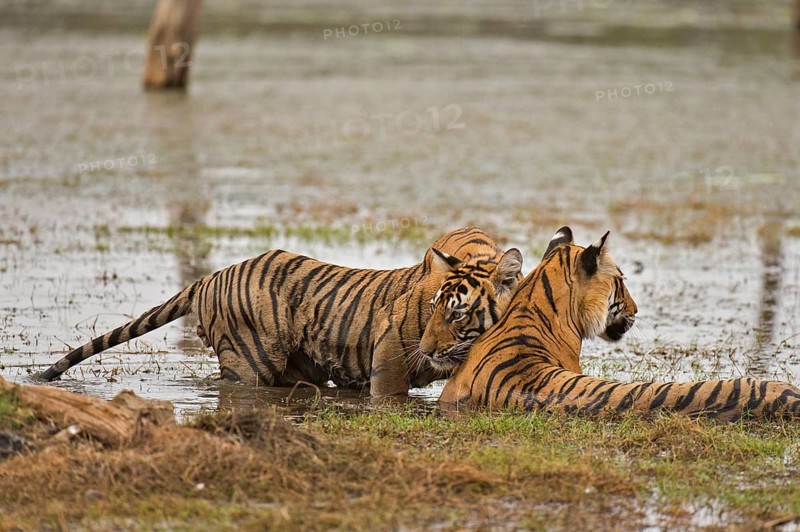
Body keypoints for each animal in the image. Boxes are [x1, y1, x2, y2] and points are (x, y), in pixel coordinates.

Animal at [39, 227, 519, 396]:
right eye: (439, 311)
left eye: (457, 315)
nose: (429, 349)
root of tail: (211, 277)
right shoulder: (390, 349)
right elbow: (390, 394)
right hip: (249, 362)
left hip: (300, 366)